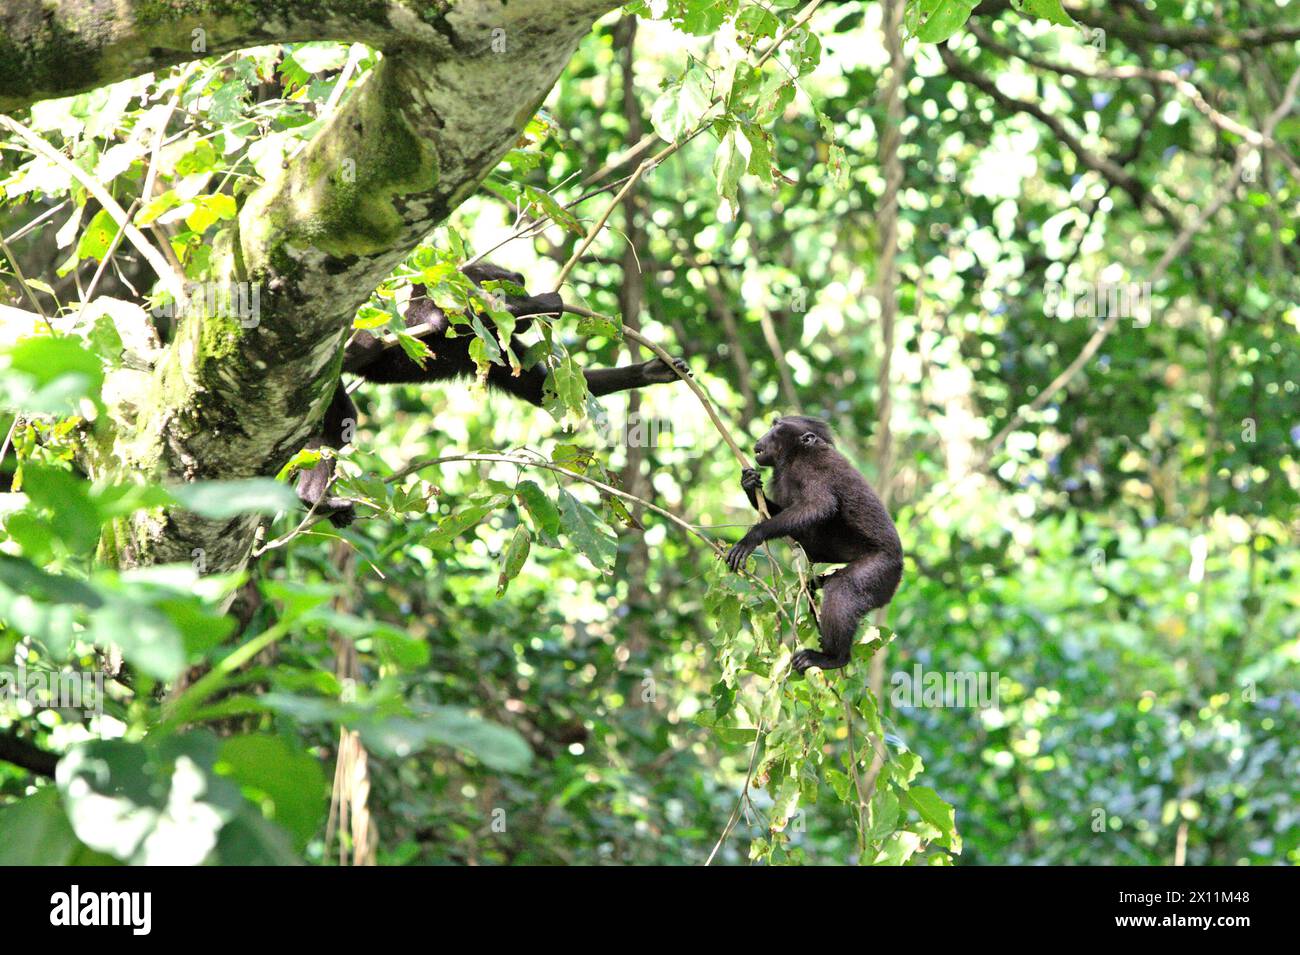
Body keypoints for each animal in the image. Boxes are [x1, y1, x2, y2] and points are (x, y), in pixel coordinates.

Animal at [728, 415, 899, 670]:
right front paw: (749, 484)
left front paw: (753, 536)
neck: (795, 456)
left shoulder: (811, 468)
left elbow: (819, 506)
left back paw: (834, 657)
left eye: (777, 427)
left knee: (841, 589)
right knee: (815, 586)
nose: (762, 436)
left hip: (882, 570)